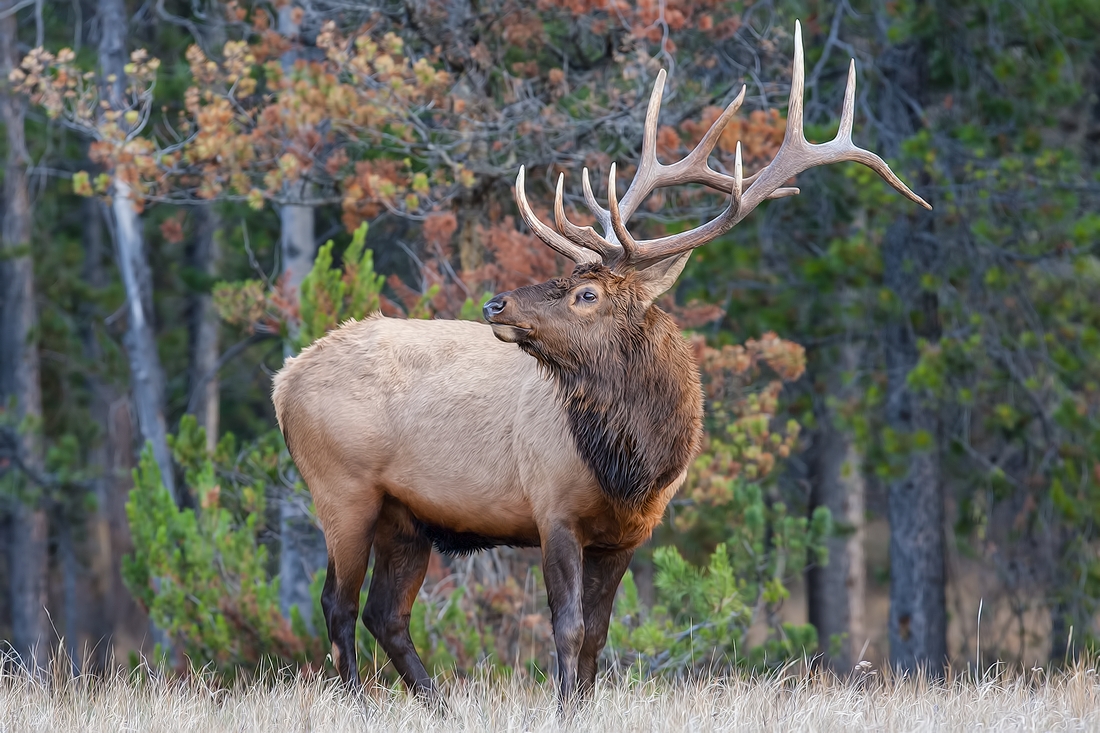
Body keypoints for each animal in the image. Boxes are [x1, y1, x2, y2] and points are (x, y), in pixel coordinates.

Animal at [272, 19, 928, 699]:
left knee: (386, 613)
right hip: (341, 488)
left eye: (586, 293)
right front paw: (560, 704)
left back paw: (439, 705)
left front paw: (581, 700)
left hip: (407, 515)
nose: (495, 302)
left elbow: (596, 638)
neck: (633, 466)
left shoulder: (629, 535)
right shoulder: (551, 508)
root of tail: (283, 379)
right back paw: (360, 699)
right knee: (338, 605)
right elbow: (565, 629)